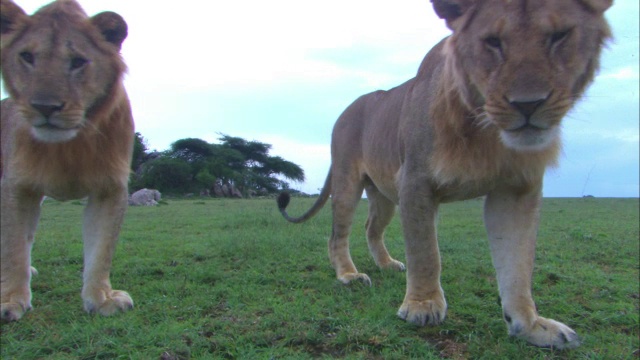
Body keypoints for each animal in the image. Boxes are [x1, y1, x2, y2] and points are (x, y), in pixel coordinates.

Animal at [0, 0, 134, 320]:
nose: (45, 107)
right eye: (27, 57)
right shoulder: (16, 187)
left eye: (78, 61)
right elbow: (12, 247)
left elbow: (101, 250)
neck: (69, 146)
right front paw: (10, 300)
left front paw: (101, 299)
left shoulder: (110, 188)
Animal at [278, 0, 612, 350]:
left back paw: (387, 265)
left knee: (372, 228)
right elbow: (426, 251)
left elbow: (518, 265)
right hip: (347, 182)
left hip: (383, 195)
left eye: (560, 36)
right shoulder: (415, 180)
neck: (484, 127)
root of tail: (345, 109)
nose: (528, 104)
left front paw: (531, 326)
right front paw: (422, 306)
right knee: (337, 235)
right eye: (492, 42)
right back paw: (349, 276)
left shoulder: (516, 189)